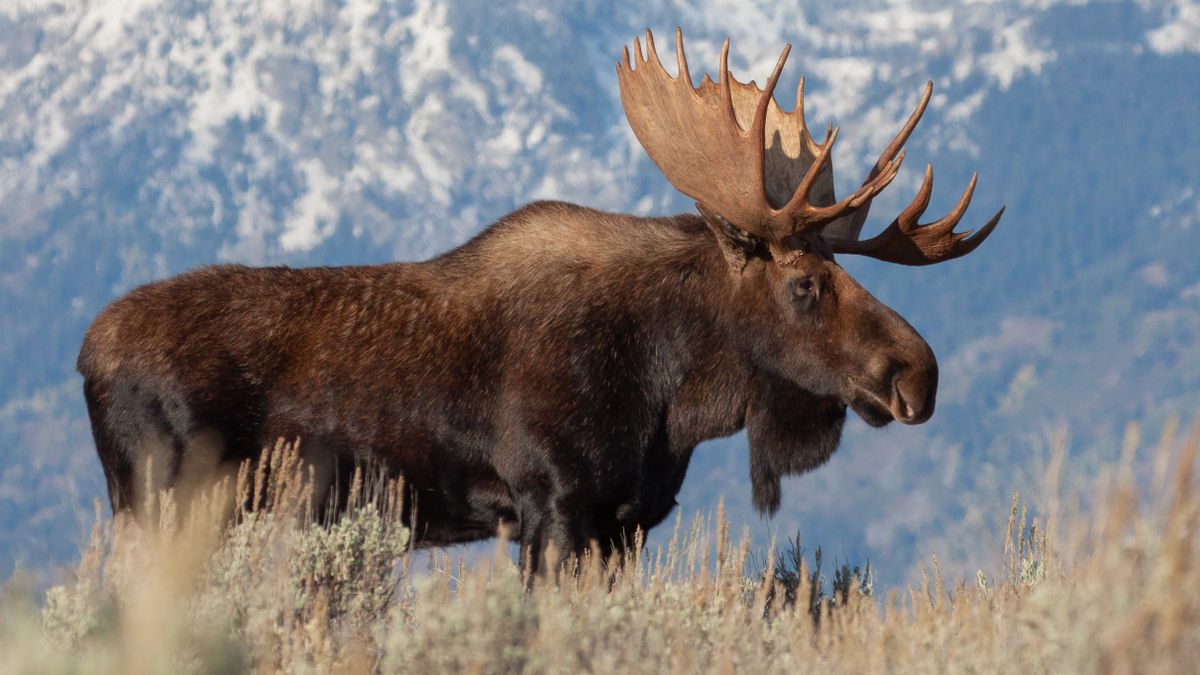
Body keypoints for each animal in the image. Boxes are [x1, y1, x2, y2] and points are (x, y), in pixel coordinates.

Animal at [77, 30, 1003, 566]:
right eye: (806, 282)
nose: (918, 374)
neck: (674, 394)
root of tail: (83, 354)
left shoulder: (627, 520)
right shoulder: (553, 504)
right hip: (163, 504)